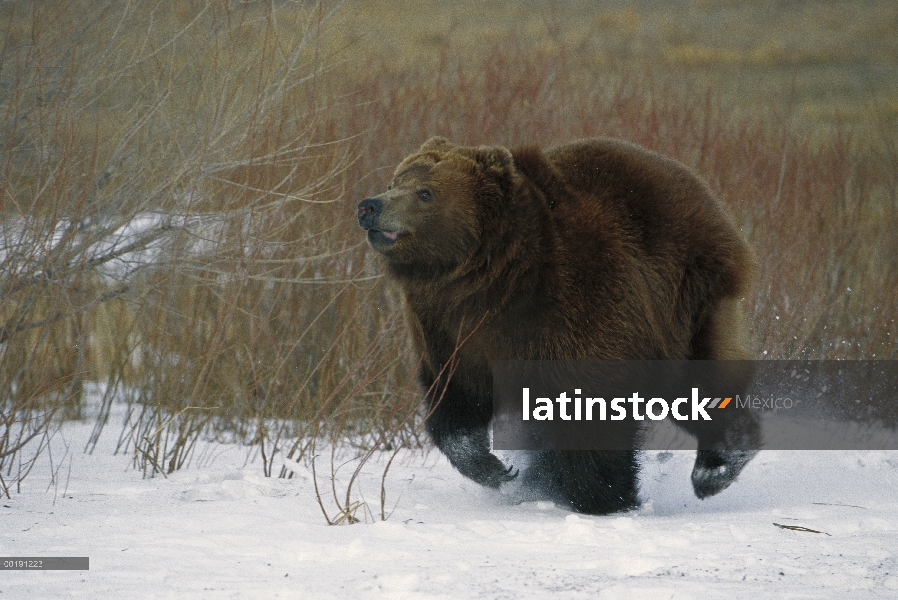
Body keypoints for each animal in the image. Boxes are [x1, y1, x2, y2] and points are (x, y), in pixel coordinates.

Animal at [356, 137, 756, 516]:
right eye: (395, 181)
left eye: (425, 192)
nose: (369, 206)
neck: (491, 283)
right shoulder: (451, 333)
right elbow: (456, 402)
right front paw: (499, 471)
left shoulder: (578, 304)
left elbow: (590, 410)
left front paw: (605, 497)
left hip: (689, 297)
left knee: (703, 379)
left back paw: (714, 469)